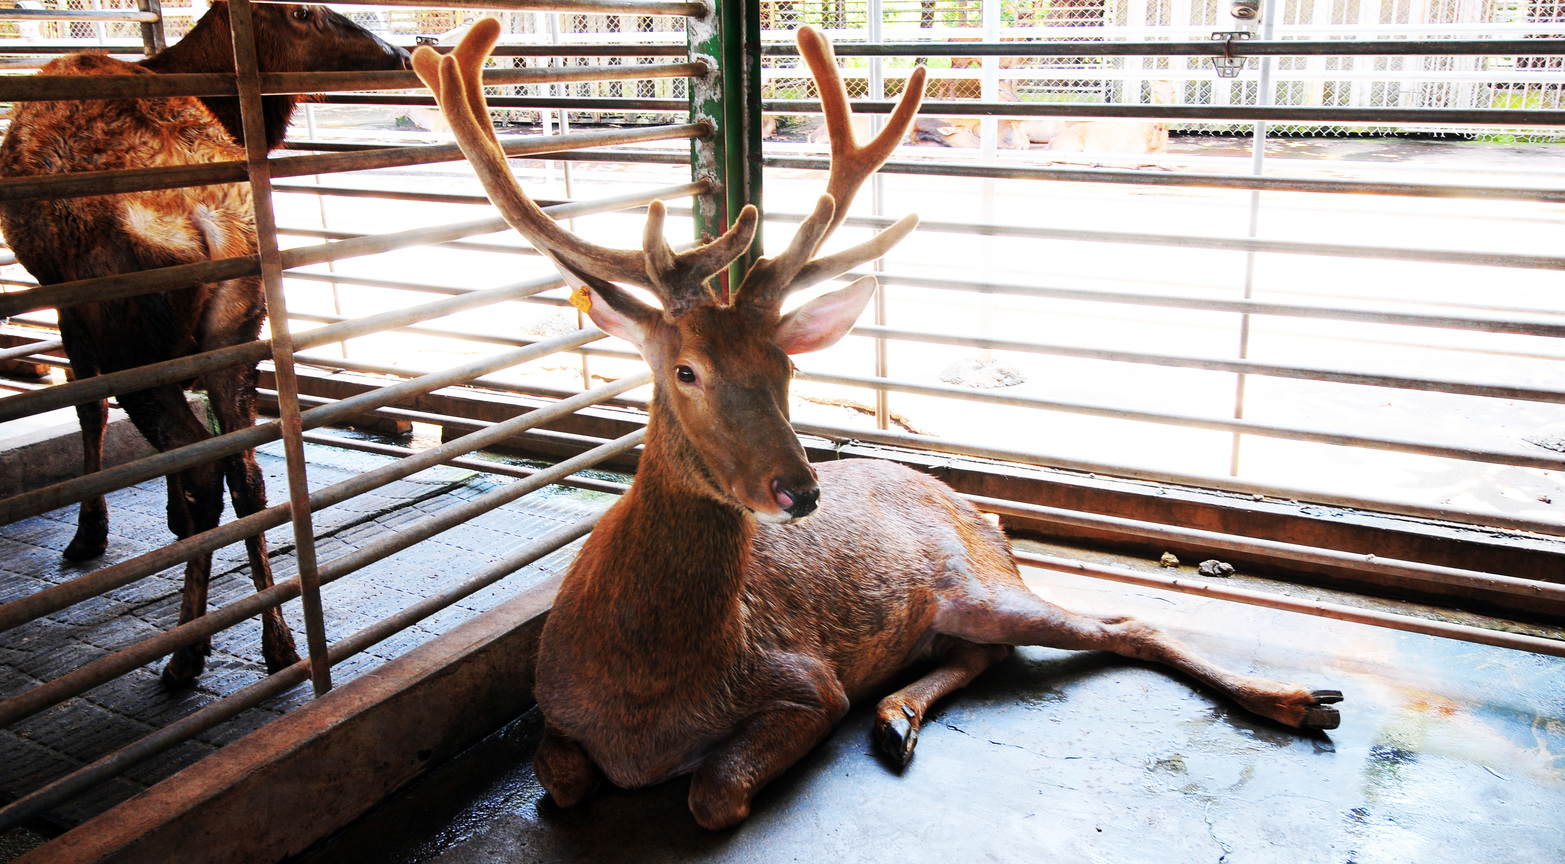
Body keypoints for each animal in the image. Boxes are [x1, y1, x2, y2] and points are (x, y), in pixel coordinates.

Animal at [0, 3, 409, 687]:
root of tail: (209, 223)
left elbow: (88, 409)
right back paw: (278, 642)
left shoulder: (64, 300)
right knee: (245, 473)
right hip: (237, 331)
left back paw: (186, 651)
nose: (402, 54)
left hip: (131, 338)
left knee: (200, 467)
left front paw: (89, 531)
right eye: (303, 11)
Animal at [415, 20, 1343, 831]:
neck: (643, 700)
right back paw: (896, 714)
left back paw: (1303, 700)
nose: (797, 490)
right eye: (685, 370)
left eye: (787, 367)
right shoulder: (555, 713)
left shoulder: (806, 681)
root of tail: (985, 518)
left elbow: (712, 793)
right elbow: (561, 782)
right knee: (987, 654)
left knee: (1120, 626)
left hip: (979, 583)